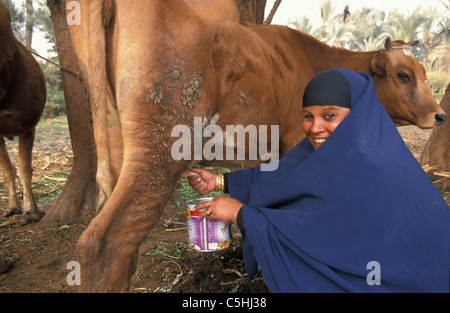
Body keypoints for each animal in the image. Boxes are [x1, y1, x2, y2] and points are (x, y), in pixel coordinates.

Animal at [67, 0, 446, 292]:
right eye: (404, 76)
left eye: (424, 74)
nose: (440, 115)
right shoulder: (296, 142)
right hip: (160, 145)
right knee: (104, 242)